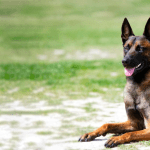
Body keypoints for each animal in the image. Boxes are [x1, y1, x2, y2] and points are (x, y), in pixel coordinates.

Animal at [78, 17, 150, 148]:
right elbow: (107, 124)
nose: (124, 61)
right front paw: (90, 134)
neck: (137, 85)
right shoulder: (134, 123)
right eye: (126, 47)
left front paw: (116, 138)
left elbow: (130, 134)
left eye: (140, 48)